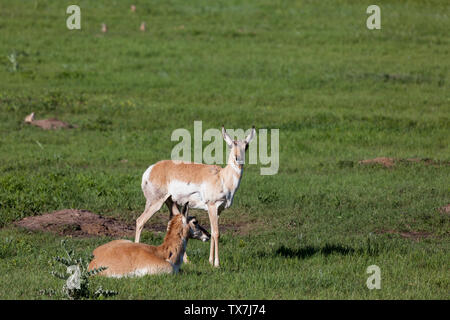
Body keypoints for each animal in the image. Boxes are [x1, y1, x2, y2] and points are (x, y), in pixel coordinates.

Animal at [135, 126, 255, 266]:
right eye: (231, 145)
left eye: (246, 146)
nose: (238, 159)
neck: (222, 177)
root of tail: (151, 169)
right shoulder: (212, 206)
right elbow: (216, 233)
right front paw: (217, 264)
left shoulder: (218, 210)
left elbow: (213, 232)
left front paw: (210, 261)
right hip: (155, 202)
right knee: (140, 221)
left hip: (172, 203)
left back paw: (186, 260)